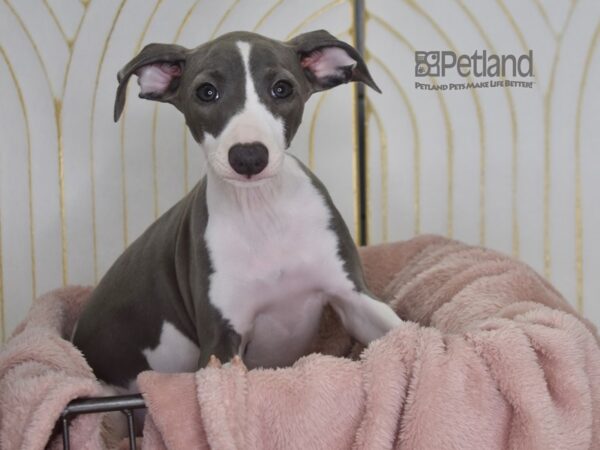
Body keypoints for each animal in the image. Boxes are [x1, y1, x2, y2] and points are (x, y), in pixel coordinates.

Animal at [74, 29, 404, 392]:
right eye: (206, 92)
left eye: (282, 88)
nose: (248, 157)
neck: (262, 212)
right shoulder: (220, 342)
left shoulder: (353, 296)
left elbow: (404, 333)